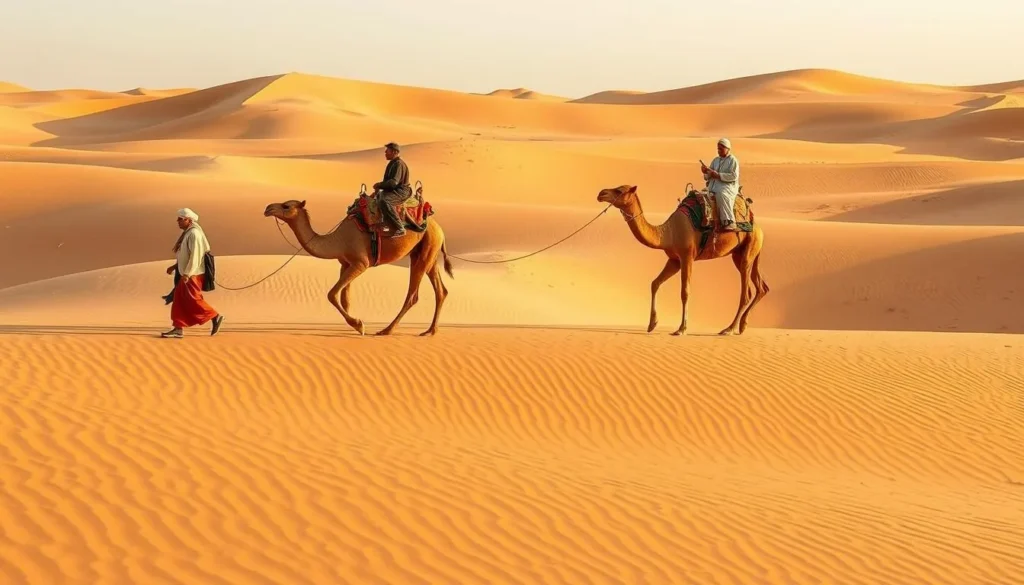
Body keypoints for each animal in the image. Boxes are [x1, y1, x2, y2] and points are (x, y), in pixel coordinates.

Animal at [263, 198, 454, 336]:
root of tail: (440, 229)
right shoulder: (345, 263)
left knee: (413, 296)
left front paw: (359, 325)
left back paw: (387, 330)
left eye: (286, 206)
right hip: (427, 251)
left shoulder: (361, 263)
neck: (338, 240)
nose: (267, 208)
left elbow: (332, 294)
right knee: (441, 290)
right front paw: (355, 323)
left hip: (426, 249)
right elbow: (345, 299)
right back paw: (430, 331)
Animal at [596, 184, 768, 336]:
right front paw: (652, 324)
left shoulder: (687, 256)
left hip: (748, 251)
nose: (601, 193)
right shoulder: (674, 260)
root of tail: (758, 227)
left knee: (746, 293)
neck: (668, 232)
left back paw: (729, 329)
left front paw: (681, 329)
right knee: (761, 287)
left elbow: (685, 291)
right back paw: (743, 325)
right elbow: (655, 283)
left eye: (619, 190)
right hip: (742, 254)